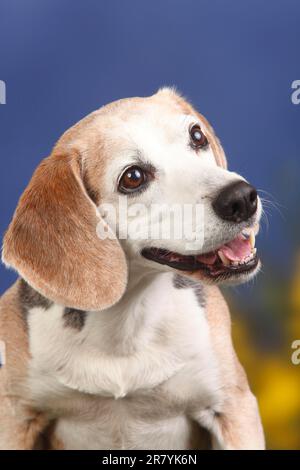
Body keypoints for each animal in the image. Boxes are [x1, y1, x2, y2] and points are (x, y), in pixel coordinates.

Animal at [0, 86, 264, 450]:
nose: (241, 197)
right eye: (133, 177)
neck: (127, 324)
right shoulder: (13, 417)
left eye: (197, 136)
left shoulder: (234, 406)